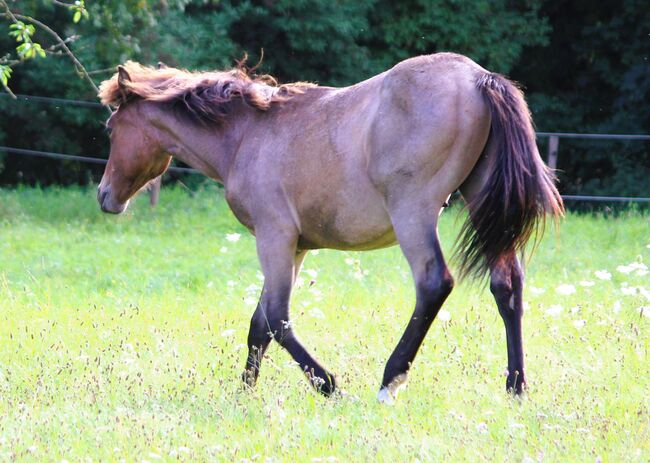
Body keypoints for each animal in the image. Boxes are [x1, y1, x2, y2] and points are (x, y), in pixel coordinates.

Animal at [96, 53, 560, 402]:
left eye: (111, 128)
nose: (105, 195)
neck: (247, 136)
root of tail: (480, 78)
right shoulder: (295, 247)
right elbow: (259, 324)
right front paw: (244, 392)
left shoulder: (274, 238)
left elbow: (278, 319)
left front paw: (328, 385)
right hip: (484, 205)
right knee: (507, 286)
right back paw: (516, 387)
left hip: (413, 213)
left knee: (433, 284)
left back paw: (390, 382)